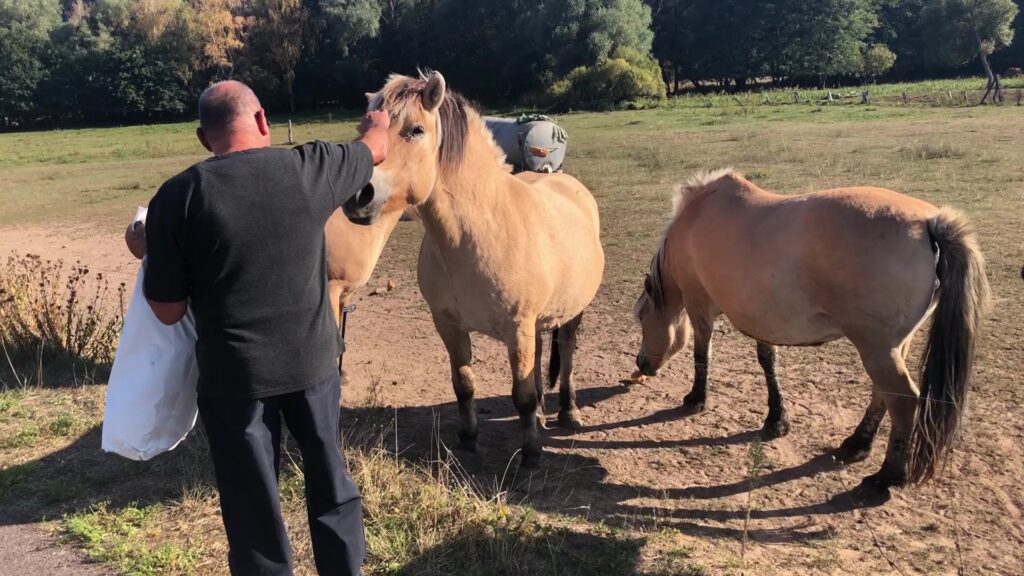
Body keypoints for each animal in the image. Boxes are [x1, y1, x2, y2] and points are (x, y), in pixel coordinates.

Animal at [339, 71, 602, 467]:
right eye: (363, 128)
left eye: (415, 130)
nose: (358, 195)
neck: (478, 233)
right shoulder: (449, 324)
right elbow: (463, 383)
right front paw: (467, 439)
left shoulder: (517, 328)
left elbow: (521, 395)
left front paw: (531, 454)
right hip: (538, 323)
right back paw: (543, 415)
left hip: (570, 314)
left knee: (567, 355)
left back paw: (568, 412)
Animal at [634, 167, 987, 494]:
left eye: (640, 318)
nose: (641, 365)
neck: (698, 214)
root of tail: (930, 222)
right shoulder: (761, 316)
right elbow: (768, 361)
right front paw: (776, 420)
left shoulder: (699, 305)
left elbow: (702, 353)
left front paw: (696, 398)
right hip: (892, 348)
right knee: (883, 395)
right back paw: (857, 444)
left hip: (877, 350)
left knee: (904, 401)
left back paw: (887, 478)